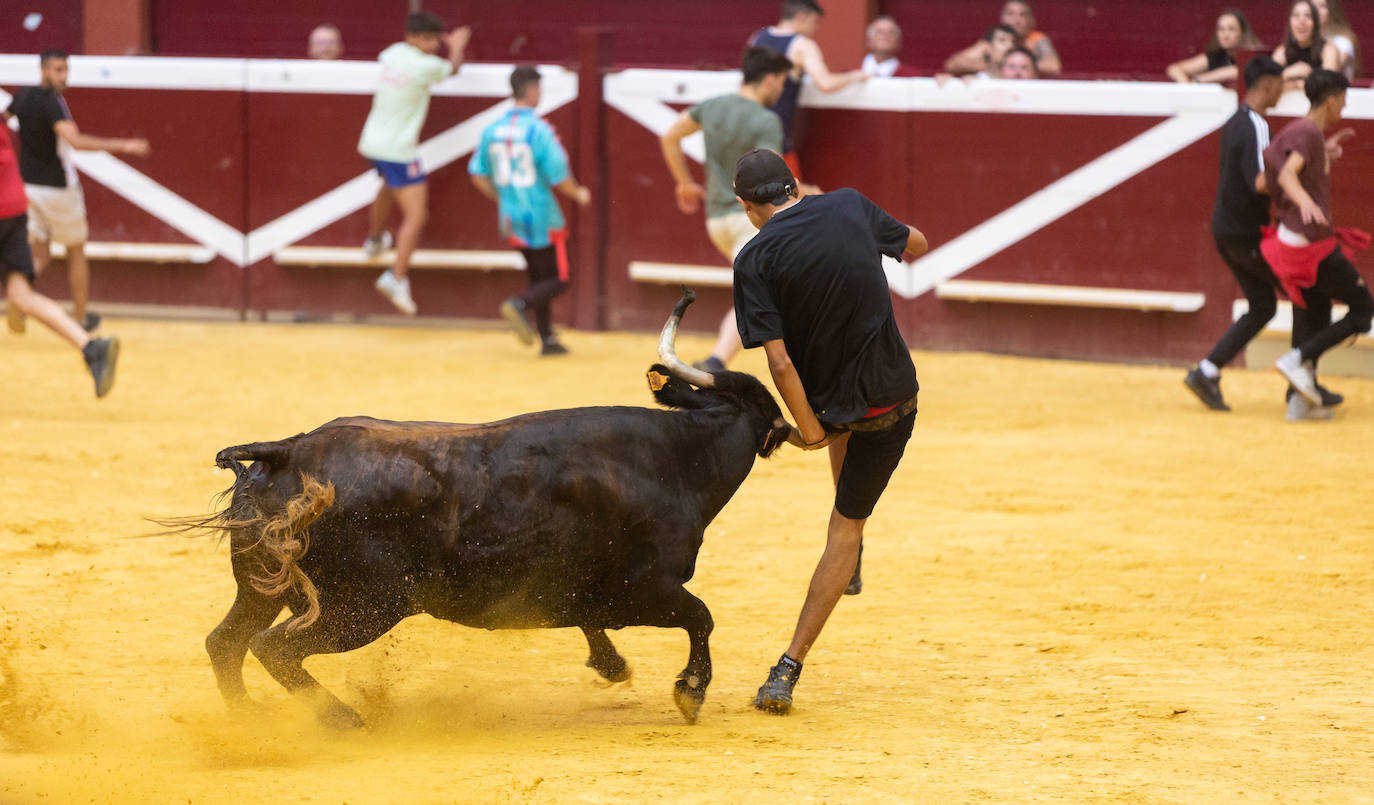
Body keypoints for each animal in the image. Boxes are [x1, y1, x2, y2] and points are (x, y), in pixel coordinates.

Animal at [171, 293, 796, 725]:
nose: (792, 427)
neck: (676, 456)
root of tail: (290, 450)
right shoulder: (646, 589)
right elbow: (702, 616)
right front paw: (689, 692)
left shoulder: (589, 590)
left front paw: (613, 665)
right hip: (363, 607)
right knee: (271, 648)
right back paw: (342, 720)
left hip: (265, 587)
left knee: (226, 643)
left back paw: (249, 723)